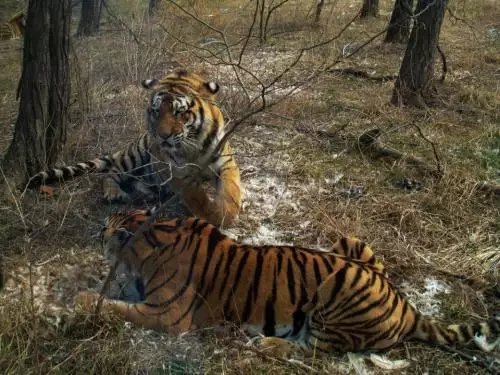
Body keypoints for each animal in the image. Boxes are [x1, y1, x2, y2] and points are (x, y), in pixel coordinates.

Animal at [27, 71, 242, 229]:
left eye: (179, 112)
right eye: (156, 111)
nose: (162, 136)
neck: (192, 143)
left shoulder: (225, 161)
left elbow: (231, 190)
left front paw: (226, 214)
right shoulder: (171, 169)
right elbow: (194, 193)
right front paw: (210, 214)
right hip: (134, 156)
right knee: (111, 173)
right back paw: (115, 193)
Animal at [75, 209, 500, 356]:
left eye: (105, 229)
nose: (97, 231)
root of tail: (407, 306)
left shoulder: (168, 313)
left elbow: (115, 305)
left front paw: (81, 299)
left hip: (340, 289)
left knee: (314, 349)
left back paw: (265, 344)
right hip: (350, 243)